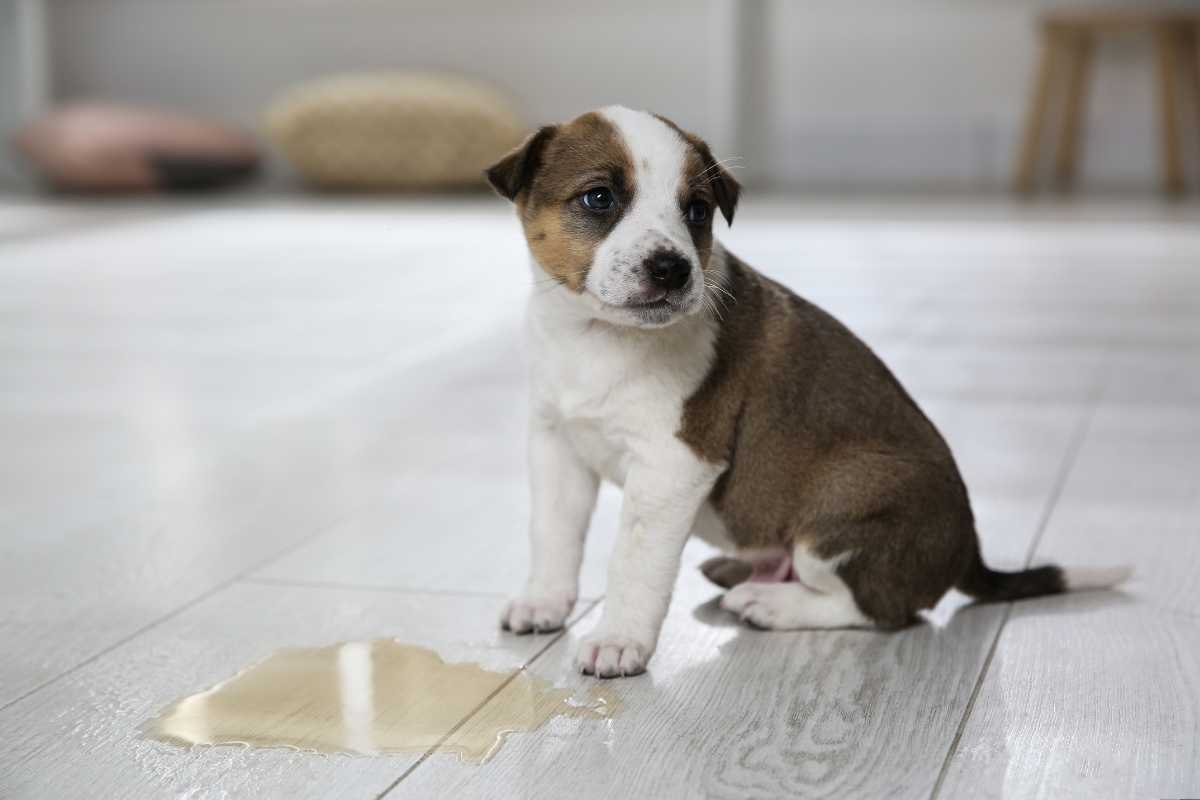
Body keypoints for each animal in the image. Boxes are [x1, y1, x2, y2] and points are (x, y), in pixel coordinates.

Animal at [482, 106, 1128, 681]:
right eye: (599, 198)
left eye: (697, 211)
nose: (673, 269)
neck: (595, 336)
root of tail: (968, 550)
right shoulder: (557, 445)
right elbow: (553, 534)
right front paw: (544, 600)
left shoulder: (672, 467)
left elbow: (634, 564)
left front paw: (619, 640)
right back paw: (745, 574)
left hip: (844, 503)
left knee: (881, 609)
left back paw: (771, 604)